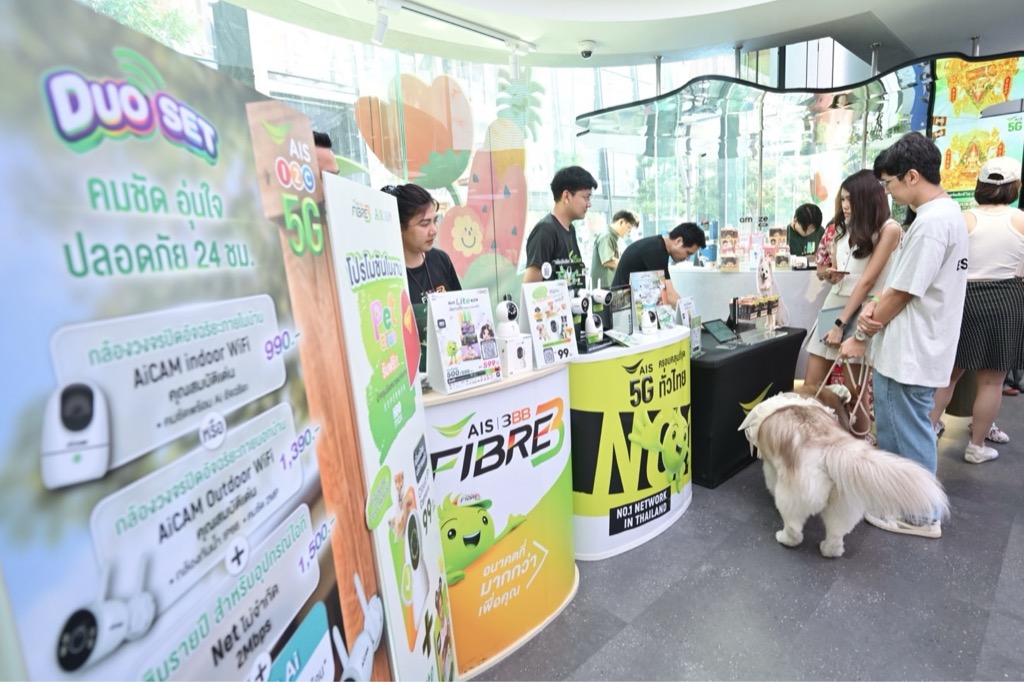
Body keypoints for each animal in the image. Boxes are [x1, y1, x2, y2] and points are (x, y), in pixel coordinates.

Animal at [738, 391, 948, 558]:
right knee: (835, 536)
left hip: (791, 500)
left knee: (795, 530)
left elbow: (770, 480)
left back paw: (784, 538)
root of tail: (831, 448)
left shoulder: (770, 467)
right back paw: (829, 550)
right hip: (843, 507)